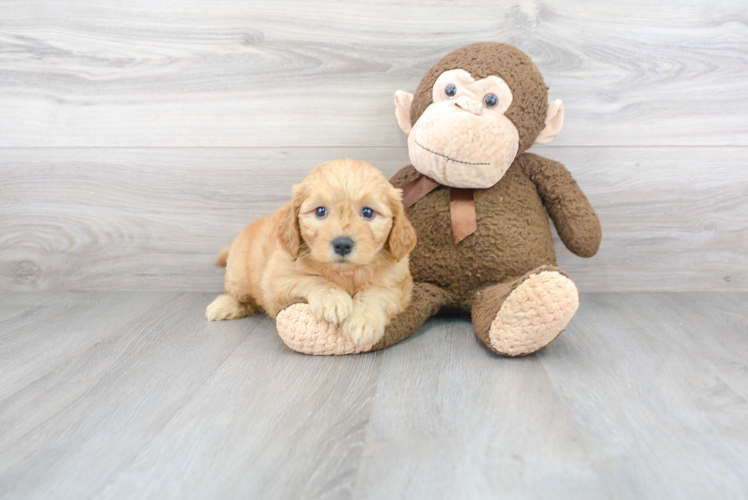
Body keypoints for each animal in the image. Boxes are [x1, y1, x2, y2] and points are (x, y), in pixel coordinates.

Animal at [205, 158, 418, 346]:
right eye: (320, 211)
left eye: (368, 212)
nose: (342, 244)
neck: (345, 273)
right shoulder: (276, 279)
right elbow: (310, 278)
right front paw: (333, 298)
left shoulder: (398, 283)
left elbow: (376, 293)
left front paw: (363, 321)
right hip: (238, 276)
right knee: (238, 295)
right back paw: (223, 306)